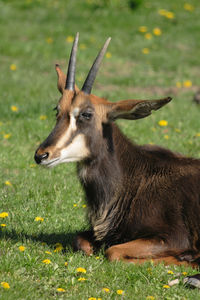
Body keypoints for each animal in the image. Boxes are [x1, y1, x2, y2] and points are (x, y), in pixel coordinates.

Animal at [34, 32, 200, 268]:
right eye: (57, 110)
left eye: (86, 114)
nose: (42, 155)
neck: (136, 178)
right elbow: (80, 240)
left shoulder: (173, 237)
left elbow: (113, 252)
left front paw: (188, 258)